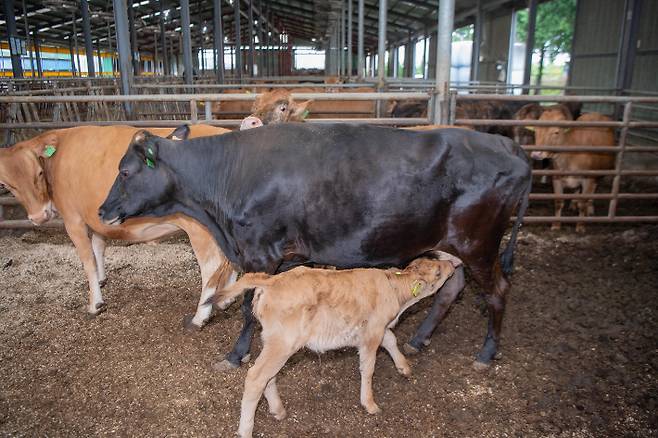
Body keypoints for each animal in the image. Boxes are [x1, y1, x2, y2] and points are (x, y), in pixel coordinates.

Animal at [0, 123, 234, 326]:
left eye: (38, 173)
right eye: (7, 185)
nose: (38, 217)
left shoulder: (73, 219)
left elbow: (87, 260)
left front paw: (95, 303)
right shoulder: (96, 218)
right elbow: (98, 247)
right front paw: (102, 279)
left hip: (199, 229)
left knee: (211, 266)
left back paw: (200, 317)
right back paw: (226, 299)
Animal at [98, 122, 532, 370]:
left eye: (125, 171)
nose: (102, 210)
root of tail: (506, 145)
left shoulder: (260, 252)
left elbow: (249, 308)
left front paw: (237, 355)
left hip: (479, 244)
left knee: (498, 290)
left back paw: (486, 354)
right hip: (451, 245)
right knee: (452, 288)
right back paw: (419, 338)